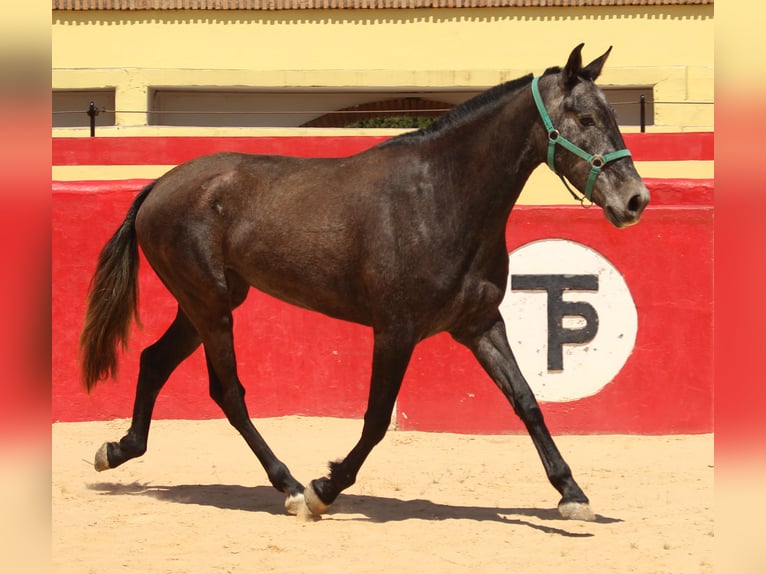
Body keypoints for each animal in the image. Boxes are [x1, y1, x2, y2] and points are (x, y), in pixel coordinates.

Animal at [81, 44, 652, 520]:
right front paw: (323, 489)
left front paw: (572, 494)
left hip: (204, 304)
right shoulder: (396, 330)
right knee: (228, 392)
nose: (635, 200)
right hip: (211, 305)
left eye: (612, 115)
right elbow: (376, 419)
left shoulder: (479, 325)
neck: (441, 196)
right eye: (585, 117)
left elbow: (527, 401)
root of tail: (159, 185)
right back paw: (289, 486)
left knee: (155, 361)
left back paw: (118, 449)